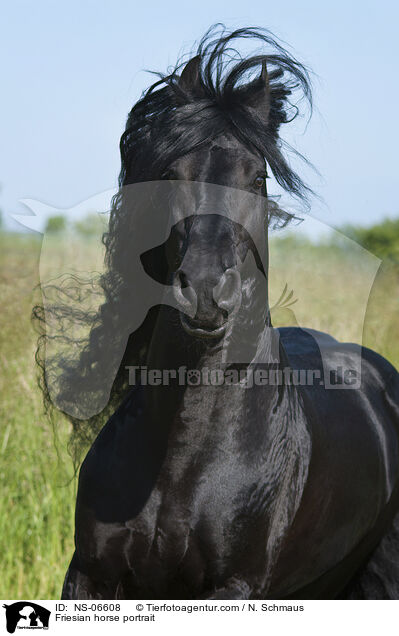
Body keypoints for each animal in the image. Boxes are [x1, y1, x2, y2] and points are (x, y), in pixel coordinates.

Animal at [55, 26, 399, 600]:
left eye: (258, 178)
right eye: (171, 173)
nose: (205, 290)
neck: (182, 459)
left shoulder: (234, 588)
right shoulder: (92, 574)